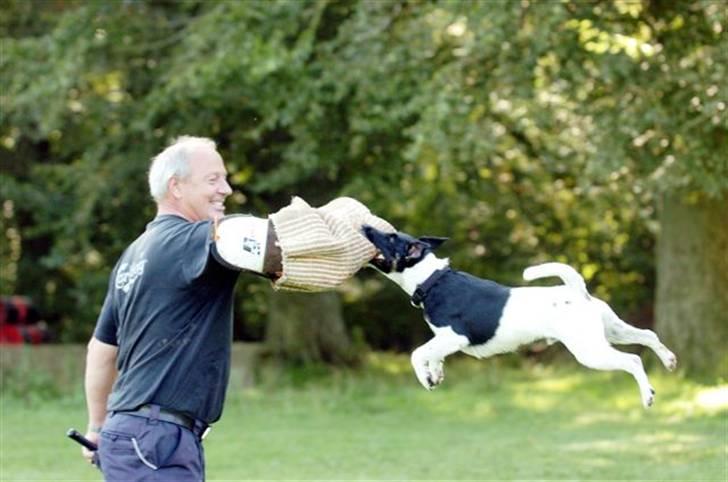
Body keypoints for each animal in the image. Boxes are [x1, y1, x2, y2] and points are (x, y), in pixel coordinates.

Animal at [364, 226, 676, 406]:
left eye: (390, 237)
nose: (365, 225)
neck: (431, 280)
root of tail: (577, 291)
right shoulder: (443, 341)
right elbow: (432, 356)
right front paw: (434, 375)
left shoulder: (454, 337)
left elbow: (417, 354)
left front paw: (425, 378)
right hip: (610, 331)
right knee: (648, 335)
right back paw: (669, 360)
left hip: (590, 351)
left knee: (633, 360)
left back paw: (647, 395)